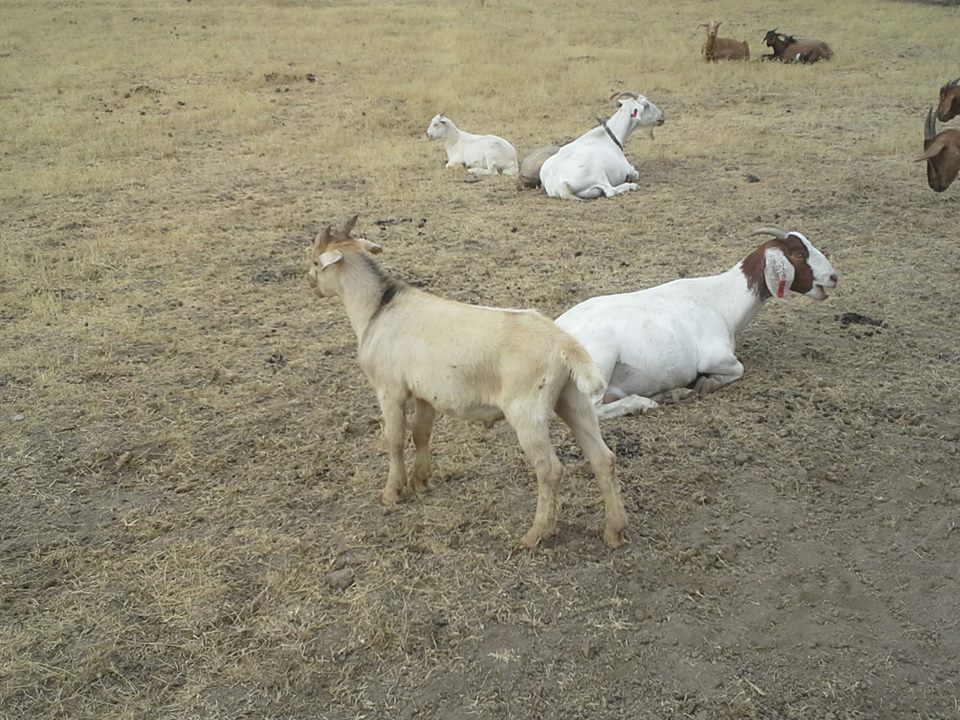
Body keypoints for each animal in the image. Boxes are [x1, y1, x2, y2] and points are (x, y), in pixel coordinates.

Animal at [306, 216, 627, 548]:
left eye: (316, 261)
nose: (311, 283)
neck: (377, 309)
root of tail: (563, 344)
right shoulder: (425, 394)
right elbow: (421, 434)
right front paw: (421, 482)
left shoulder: (389, 390)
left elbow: (394, 439)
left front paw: (392, 492)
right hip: (573, 399)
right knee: (603, 458)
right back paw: (614, 531)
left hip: (527, 410)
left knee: (549, 469)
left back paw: (536, 534)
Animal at [555, 227, 838, 420]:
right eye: (798, 254)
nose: (833, 277)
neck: (722, 301)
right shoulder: (715, 357)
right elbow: (738, 369)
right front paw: (707, 383)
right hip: (599, 360)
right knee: (592, 410)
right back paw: (644, 403)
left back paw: (671, 394)